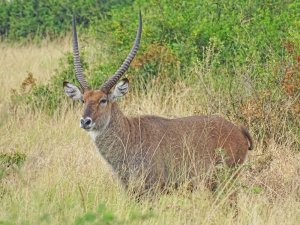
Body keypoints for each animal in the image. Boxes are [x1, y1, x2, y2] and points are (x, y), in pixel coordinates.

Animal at [63, 11, 253, 192]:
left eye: (103, 100)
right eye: (83, 100)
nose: (85, 121)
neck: (130, 134)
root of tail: (238, 129)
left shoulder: (153, 188)